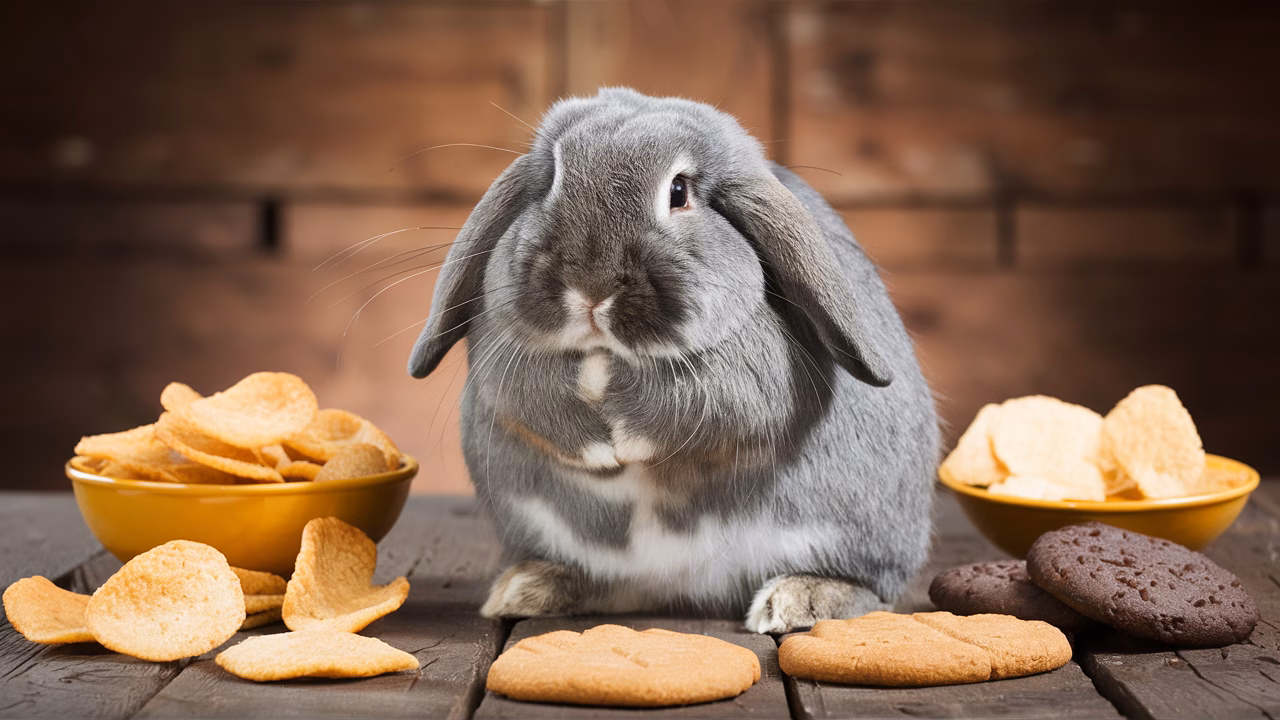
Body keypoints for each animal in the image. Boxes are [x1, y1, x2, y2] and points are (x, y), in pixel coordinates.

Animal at [408, 88, 938, 633]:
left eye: (679, 191)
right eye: (552, 177)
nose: (591, 286)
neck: (607, 354)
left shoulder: (741, 382)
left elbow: (690, 412)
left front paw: (620, 443)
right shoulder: (508, 360)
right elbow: (533, 400)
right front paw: (597, 449)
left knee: (871, 590)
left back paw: (798, 600)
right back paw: (529, 589)